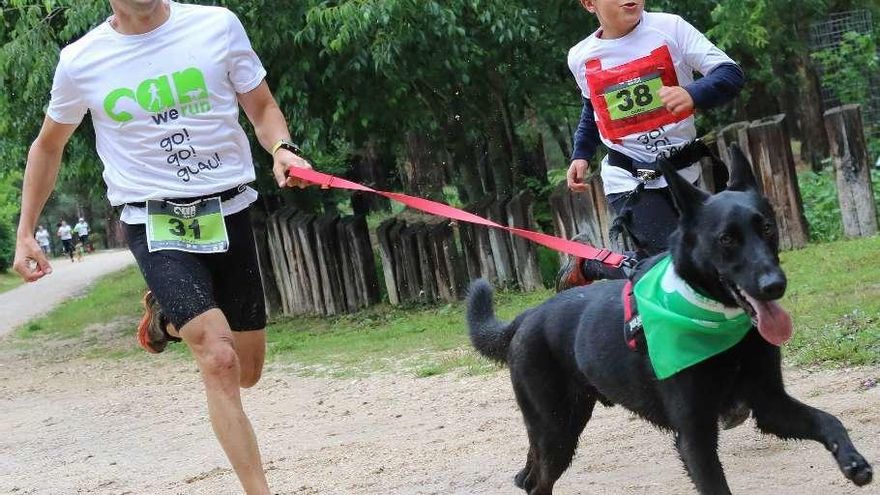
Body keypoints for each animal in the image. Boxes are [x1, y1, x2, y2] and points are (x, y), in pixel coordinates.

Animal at [468, 145, 872, 494]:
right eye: (726, 239)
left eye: (768, 228)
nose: (774, 285)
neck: (716, 322)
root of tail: (525, 317)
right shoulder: (694, 436)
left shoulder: (770, 405)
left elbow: (829, 420)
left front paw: (853, 462)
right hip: (557, 428)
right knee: (539, 482)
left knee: (530, 474)